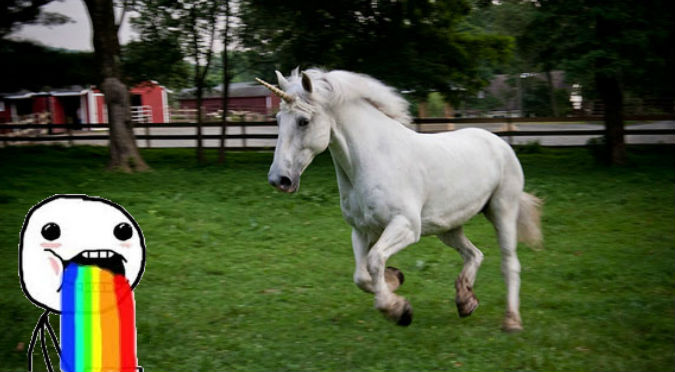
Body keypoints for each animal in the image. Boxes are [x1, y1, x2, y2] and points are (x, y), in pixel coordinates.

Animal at [258, 68, 544, 330]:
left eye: (303, 121)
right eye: (278, 119)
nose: (279, 180)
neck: (371, 160)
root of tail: (498, 142)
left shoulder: (405, 226)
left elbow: (374, 261)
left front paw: (398, 310)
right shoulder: (361, 230)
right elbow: (361, 275)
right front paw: (395, 281)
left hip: (502, 210)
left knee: (509, 262)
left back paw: (511, 321)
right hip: (447, 227)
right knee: (475, 254)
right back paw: (465, 301)